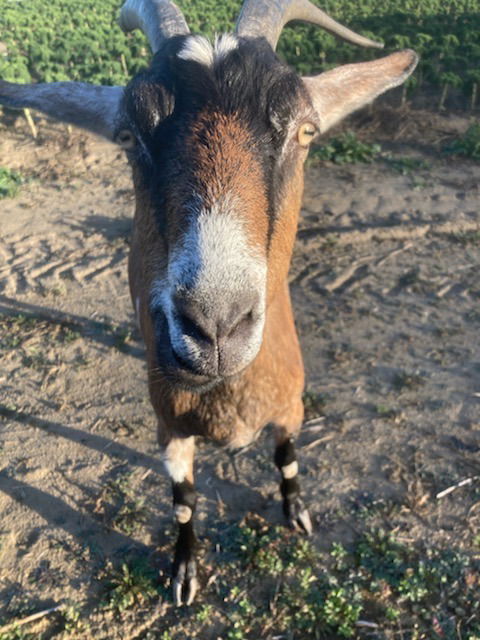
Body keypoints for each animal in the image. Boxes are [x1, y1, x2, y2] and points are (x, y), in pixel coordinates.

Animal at [0, 0, 416, 604]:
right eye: (128, 137)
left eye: (306, 130)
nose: (215, 324)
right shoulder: (169, 427)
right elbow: (183, 501)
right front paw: (184, 572)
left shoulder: (291, 405)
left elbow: (287, 459)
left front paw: (296, 512)